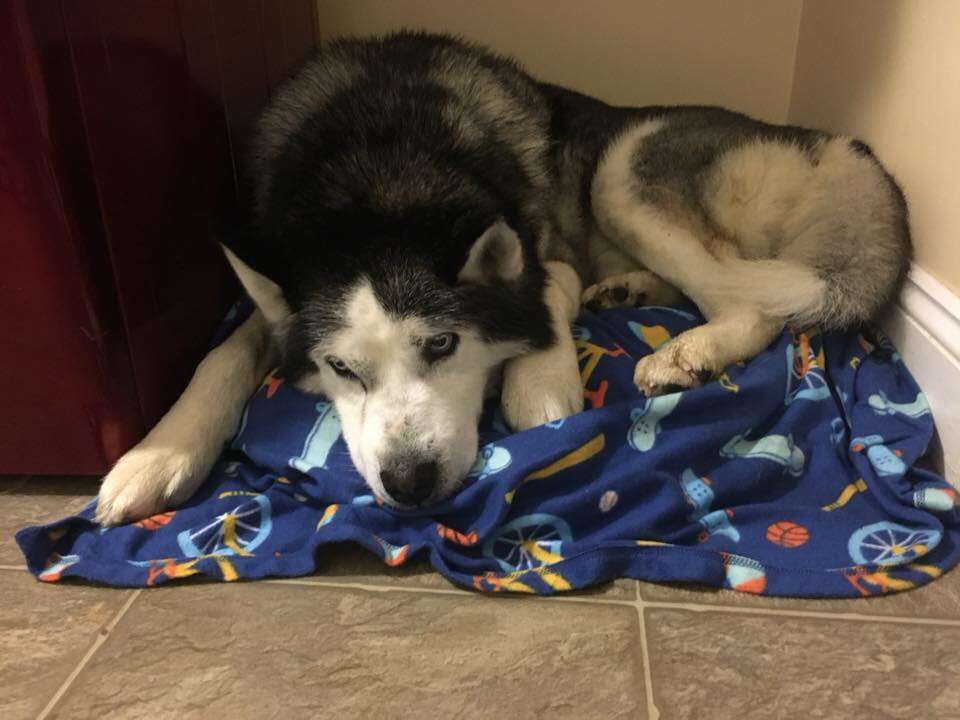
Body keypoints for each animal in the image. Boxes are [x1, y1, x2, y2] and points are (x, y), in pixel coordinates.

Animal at [95, 31, 908, 524]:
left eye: (444, 346)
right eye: (340, 369)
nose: (410, 485)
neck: (381, 176)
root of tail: (838, 143)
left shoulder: (547, 253)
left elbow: (544, 299)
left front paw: (540, 386)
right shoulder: (279, 305)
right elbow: (221, 354)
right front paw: (154, 456)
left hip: (621, 168)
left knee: (753, 304)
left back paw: (687, 351)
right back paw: (632, 293)